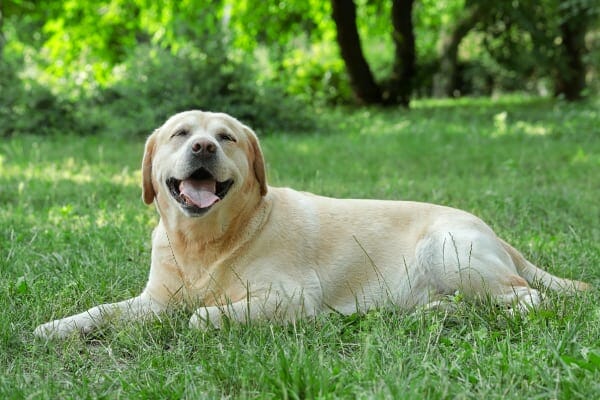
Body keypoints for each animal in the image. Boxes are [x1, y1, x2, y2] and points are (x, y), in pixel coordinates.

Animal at [34, 111, 592, 340]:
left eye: (227, 137)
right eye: (181, 133)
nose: (204, 147)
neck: (205, 244)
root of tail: (495, 232)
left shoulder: (288, 295)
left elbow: (200, 317)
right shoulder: (153, 301)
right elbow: (102, 311)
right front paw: (57, 327)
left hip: (449, 249)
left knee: (528, 298)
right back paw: (428, 313)